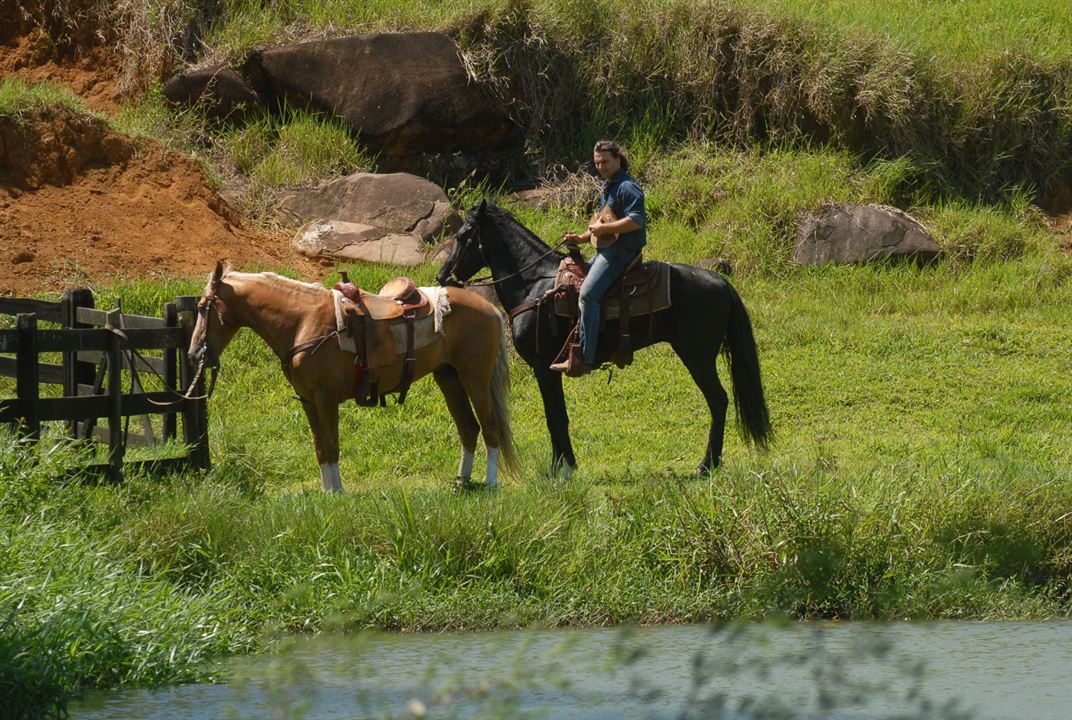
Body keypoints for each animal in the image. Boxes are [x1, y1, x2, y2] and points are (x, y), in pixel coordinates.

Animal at [188, 261, 518, 492]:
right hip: (448, 378)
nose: (193, 354)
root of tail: (489, 308)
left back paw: (490, 483)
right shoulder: (307, 400)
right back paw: (461, 482)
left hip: (475, 378)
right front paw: (326, 492)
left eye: (203, 307)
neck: (303, 321)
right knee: (468, 428)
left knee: (490, 428)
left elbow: (332, 445)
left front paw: (337, 493)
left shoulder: (325, 398)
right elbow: (320, 447)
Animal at [435, 199, 771, 475]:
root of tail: (721, 282)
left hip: (697, 355)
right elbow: (557, 415)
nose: (441, 276)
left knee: (719, 400)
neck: (535, 286)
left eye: (464, 236)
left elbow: (555, 416)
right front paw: (565, 463)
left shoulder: (544, 367)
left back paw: (707, 464)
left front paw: (560, 467)